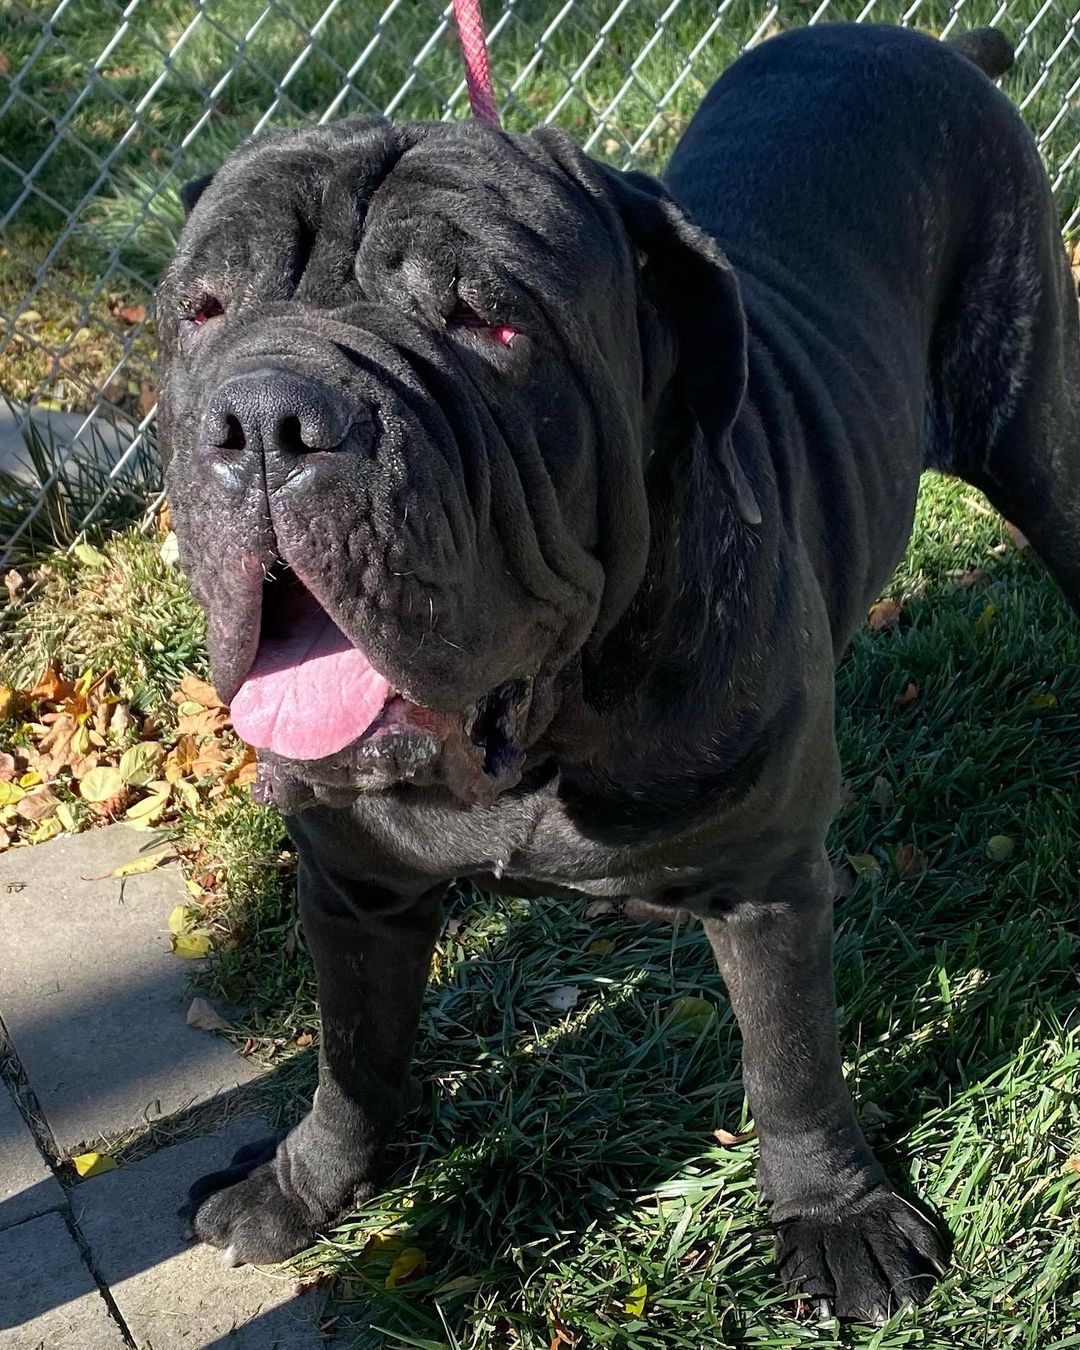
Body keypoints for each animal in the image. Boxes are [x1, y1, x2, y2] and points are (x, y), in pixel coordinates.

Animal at [160, 23, 1080, 1317]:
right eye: (201, 310)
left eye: (487, 325)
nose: (266, 421)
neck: (533, 743)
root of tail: (933, 45)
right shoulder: (353, 879)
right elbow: (353, 1050)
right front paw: (300, 1189)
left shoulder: (766, 888)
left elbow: (792, 1065)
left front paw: (834, 1216)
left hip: (1038, 434)